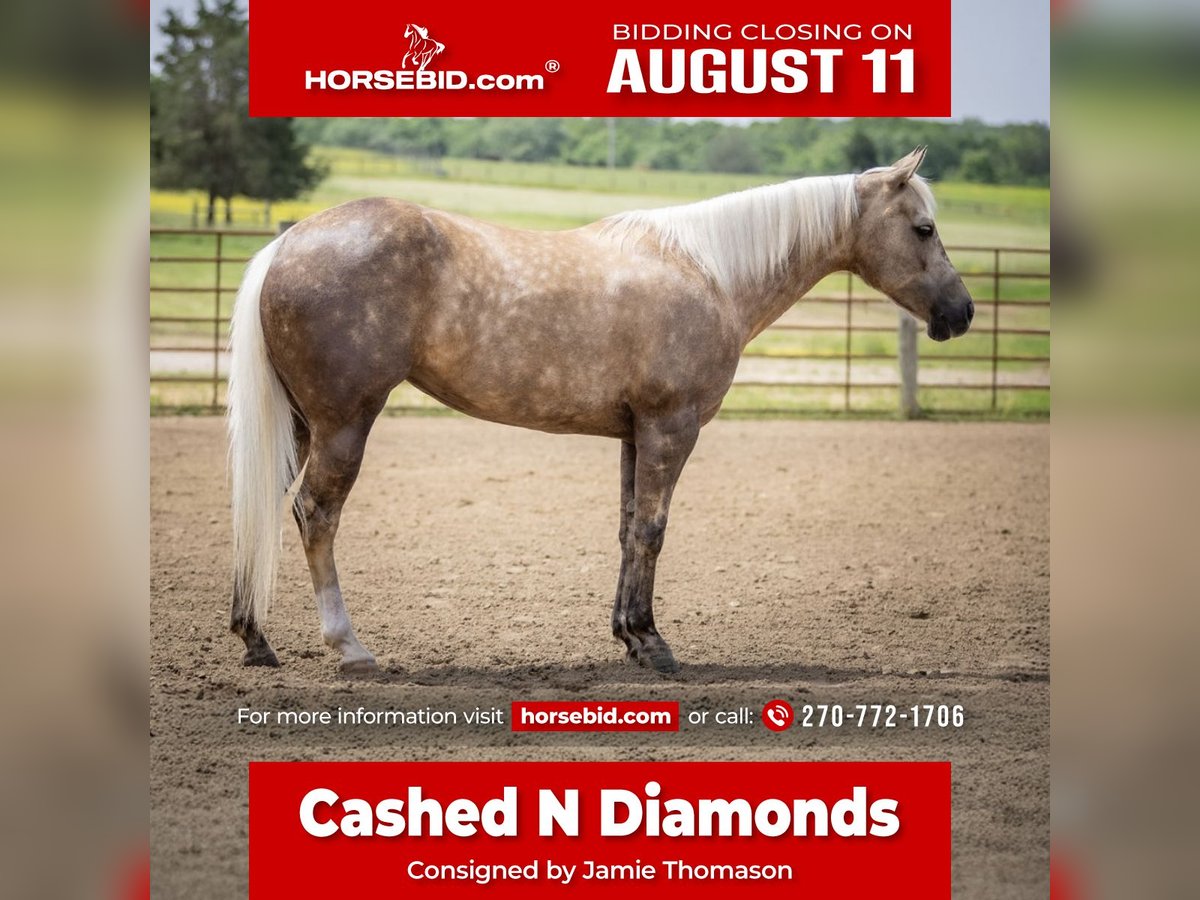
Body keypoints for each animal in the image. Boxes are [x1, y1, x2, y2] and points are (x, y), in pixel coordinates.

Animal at [226, 147, 974, 676]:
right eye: (924, 227)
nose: (962, 313)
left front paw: (627, 636)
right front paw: (652, 642)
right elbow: (652, 530)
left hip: (301, 426)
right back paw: (349, 647)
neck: (710, 273)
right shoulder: (672, 428)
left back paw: (255, 638)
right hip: (344, 424)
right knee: (315, 515)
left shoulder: (635, 433)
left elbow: (625, 529)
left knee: (265, 507)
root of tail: (286, 244)